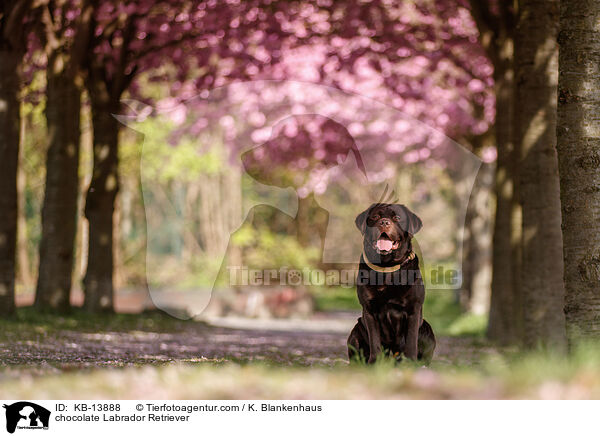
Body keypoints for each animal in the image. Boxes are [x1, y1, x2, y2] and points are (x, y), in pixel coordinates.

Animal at [346, 204, 436, 364]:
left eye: (397, 218)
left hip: (427, 330)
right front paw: (374, 362)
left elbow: (411, 340)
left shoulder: (413, 309)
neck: (387, 268)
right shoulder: (369, 310)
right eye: (375, 216)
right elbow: (374, 339)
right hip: (356, 331)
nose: (384, 222)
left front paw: (410, 362)